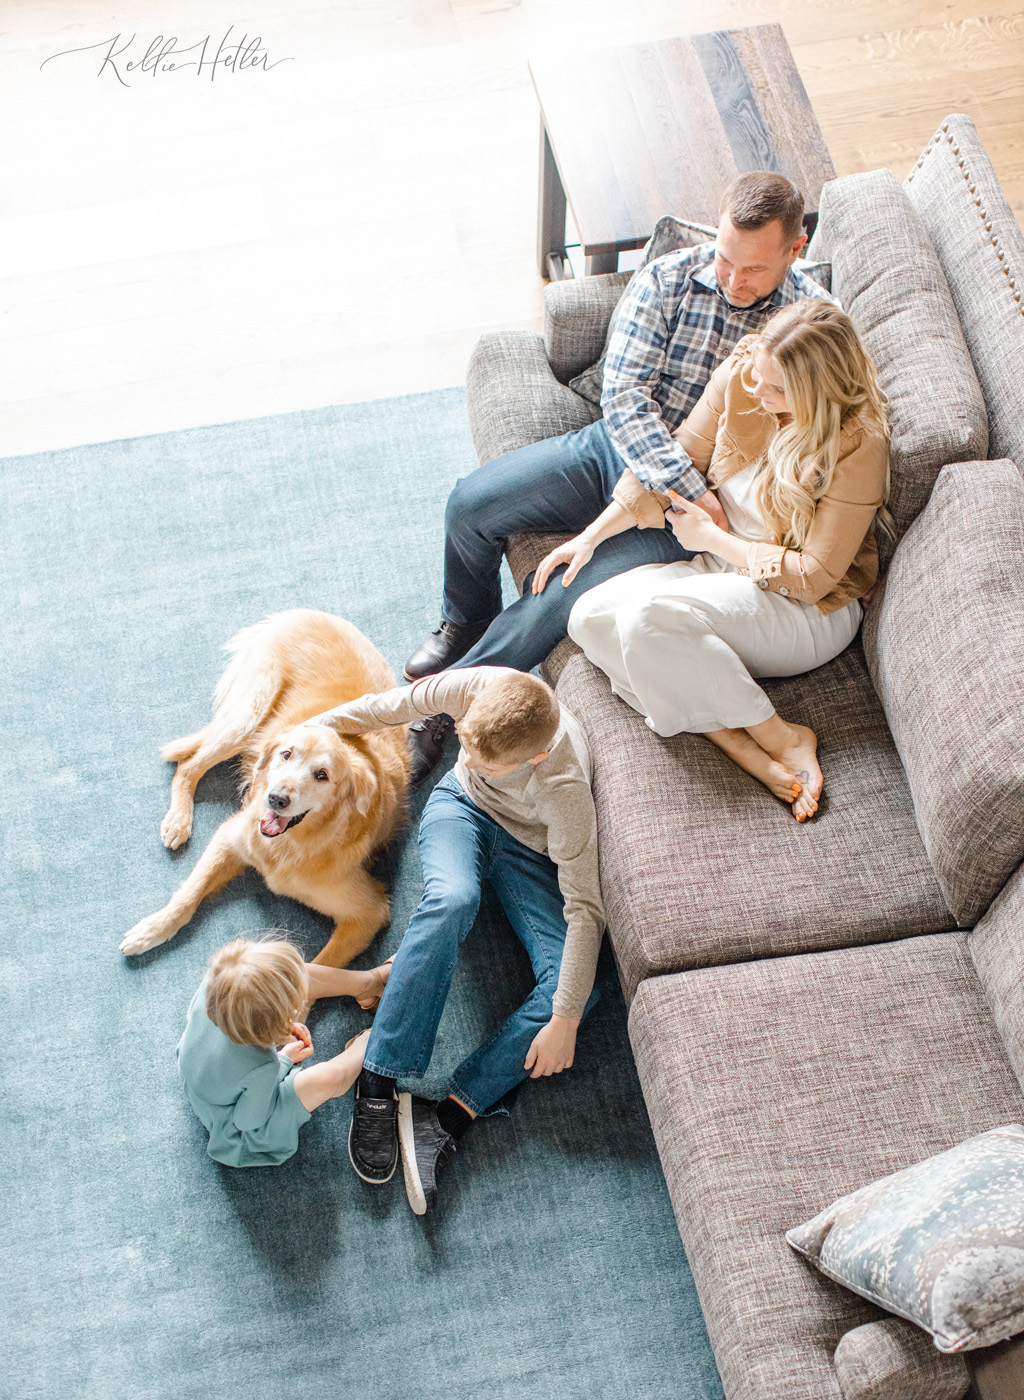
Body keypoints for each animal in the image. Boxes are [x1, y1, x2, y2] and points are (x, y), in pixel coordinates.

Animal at [119, 610, 409, 963]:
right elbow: (188, 895)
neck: (288, 847)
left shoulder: (368, 913)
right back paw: (178, 821)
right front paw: (153, 929)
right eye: (286, 754)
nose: (275, 799)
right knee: (188, 767)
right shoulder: (229, 838)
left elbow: (317, 970)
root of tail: (307, 612)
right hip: (249, 716)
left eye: (322, 775)